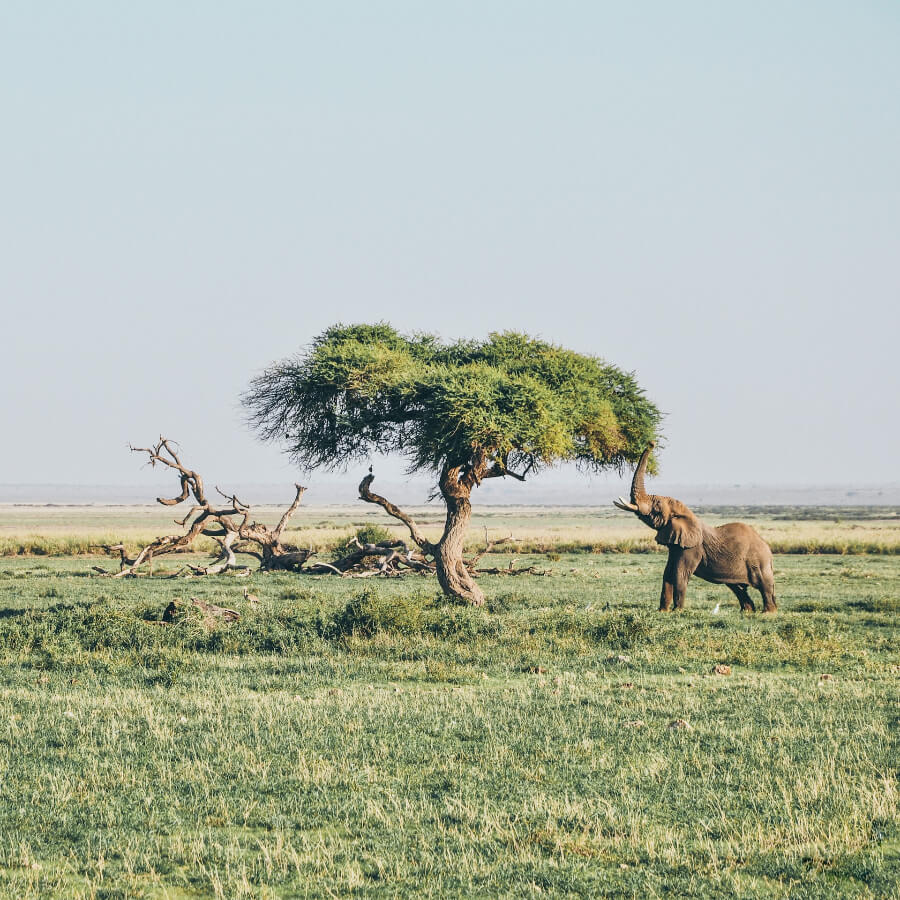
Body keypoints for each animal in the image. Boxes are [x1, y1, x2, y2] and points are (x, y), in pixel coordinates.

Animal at [616, 442, 776, 612]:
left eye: (657, 507)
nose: (651, 443)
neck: (686, 514)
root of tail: (767, 547)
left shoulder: (692, 548)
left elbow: (679, 573)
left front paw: (677, 611)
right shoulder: (677, 544)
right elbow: (668, 573)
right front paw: (663, 612)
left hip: (759, 561)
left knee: (764, 585)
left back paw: (767, 613)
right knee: (736, 587)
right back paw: (747, 612)